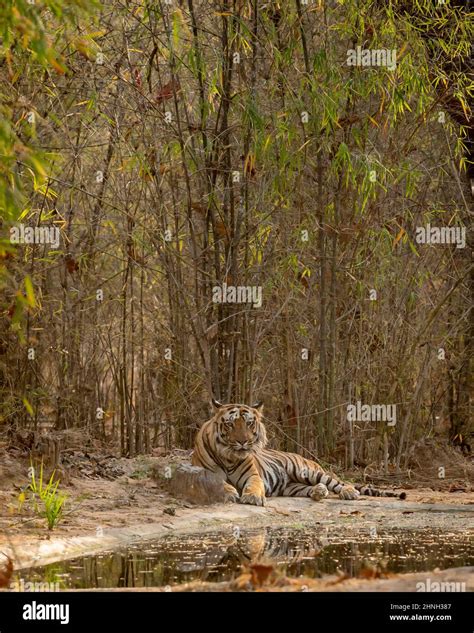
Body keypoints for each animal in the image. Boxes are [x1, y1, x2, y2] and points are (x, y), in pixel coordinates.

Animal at [191, 402, 406, 506]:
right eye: (230, 424)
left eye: (249, 423)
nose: (243, 441)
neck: (228, 455)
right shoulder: (205, 473)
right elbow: (220, 483)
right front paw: (230, 492)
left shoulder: (253, 475)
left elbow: (253, 485)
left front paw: (252, 497)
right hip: (292, 486)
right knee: (311, 489)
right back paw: (319, 492)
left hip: (306, 471)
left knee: (338, 483)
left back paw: (348, 492)